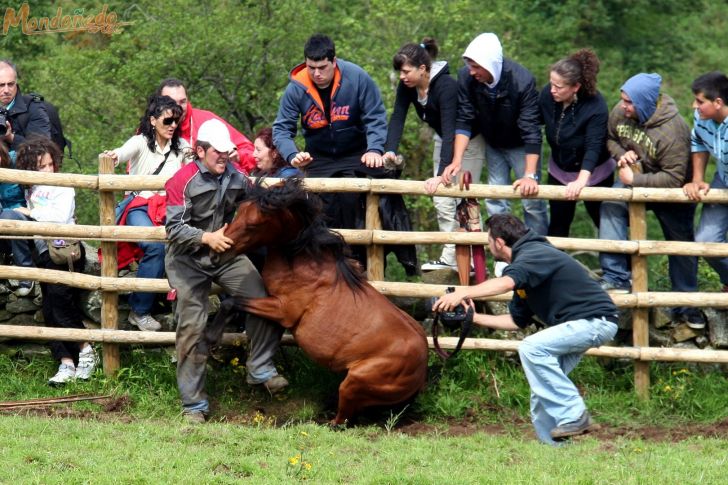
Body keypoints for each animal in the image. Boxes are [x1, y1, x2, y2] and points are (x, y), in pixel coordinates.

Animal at [225, 178, 430, 424]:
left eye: (255, 223)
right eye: (239, 212)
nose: (222, 248)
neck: (304, 261)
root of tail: (421, 374)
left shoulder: (281, 310)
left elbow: (233, 302)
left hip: (354, 382)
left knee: (342, 420)